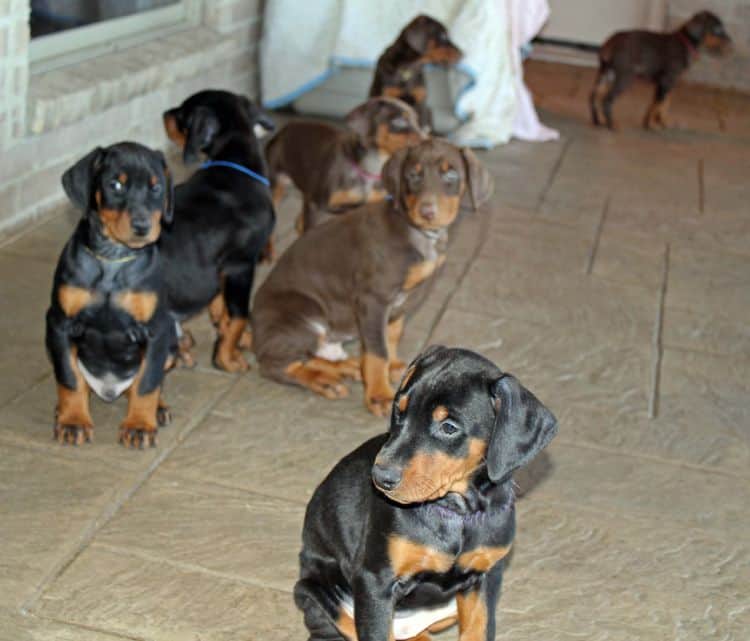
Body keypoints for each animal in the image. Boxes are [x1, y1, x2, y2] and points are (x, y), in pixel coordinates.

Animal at [46, 142, 176, 448]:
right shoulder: (59, 323)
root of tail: (109, 389)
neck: (113, 258)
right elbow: (69, 378)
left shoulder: (157, 329)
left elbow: (147, 382)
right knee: (77, 377)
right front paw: (73, 421)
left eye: (156, 187)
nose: (142, 226)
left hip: (172, 343)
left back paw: (158, 408)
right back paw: (62, 409)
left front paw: (139, 426)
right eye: (115, 184)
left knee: (145, 379)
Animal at [253, 138, 494, 412]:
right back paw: (324, 381)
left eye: (451, 173)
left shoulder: (403, 300)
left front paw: (394, 367)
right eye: (413, 175)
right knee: (275, 364)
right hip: (303, 316)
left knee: (306, 354)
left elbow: (392, 334)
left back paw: (346, 367)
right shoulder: (373, 299)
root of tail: (254, 334)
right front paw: (379, 394)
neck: (419, 233)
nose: (427, 212)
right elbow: (377, 350)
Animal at [268, 97, 426, 232]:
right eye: (399, 121)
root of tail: (284, 130)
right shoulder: (317, 206)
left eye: (418, 122)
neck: (369, 170)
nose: (427, 142)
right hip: (274, 186)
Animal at [294, 344, 560, 640]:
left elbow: (479, 629)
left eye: (449, 427)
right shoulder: (375, 580)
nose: (380, 477)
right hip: (320, 588)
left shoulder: (484, 577)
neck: (456, 511)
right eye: (399, 412)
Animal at [592, 10, 732, 130]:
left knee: (593, 96)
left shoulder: (666, 84)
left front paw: (661, 122)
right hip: (624, 77)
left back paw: (598, 121)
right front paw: (651, 125)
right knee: (606, 100)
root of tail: (611, 41)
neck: (686, 42)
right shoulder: (666, 81)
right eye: (717, 29)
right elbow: (657, 105)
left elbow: (662, 104)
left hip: (606, 74)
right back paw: (611, 125)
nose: (731, 43)